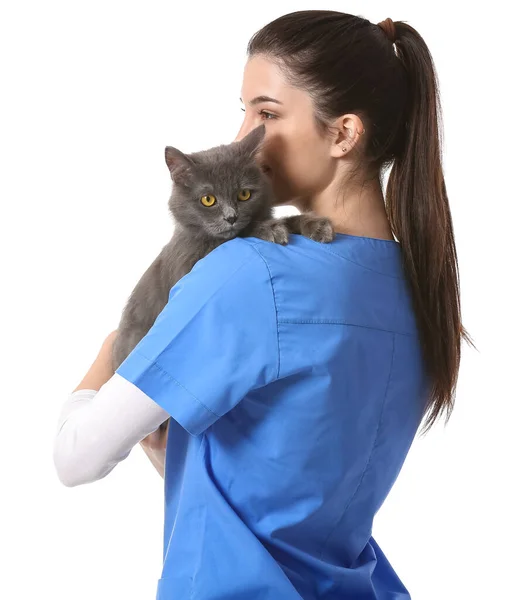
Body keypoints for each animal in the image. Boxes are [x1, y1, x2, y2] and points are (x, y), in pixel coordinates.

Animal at [111, 125, 332, 408]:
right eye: (208, 199)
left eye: (244, 194)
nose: (231, 217)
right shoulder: (190, 264)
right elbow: (240, 234)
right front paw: (270, 229)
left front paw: (314, 225)